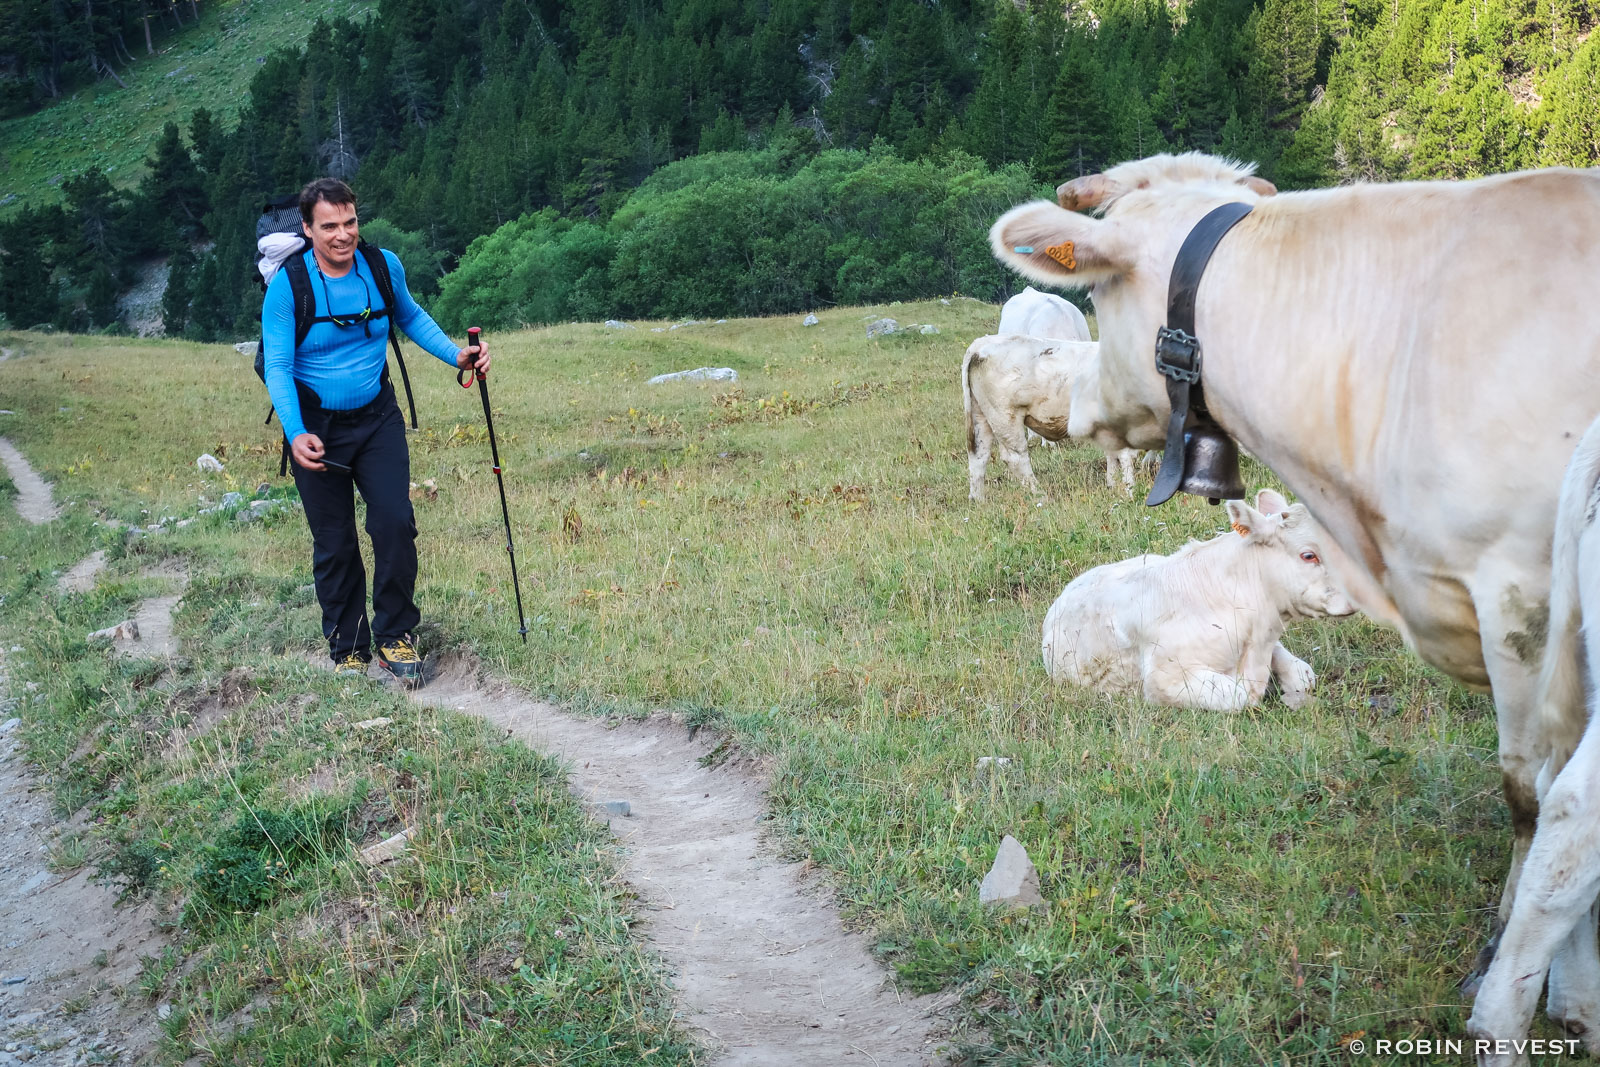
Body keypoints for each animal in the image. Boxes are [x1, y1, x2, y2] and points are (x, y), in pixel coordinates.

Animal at [960, 334, 1152, 502]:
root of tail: (980, 344)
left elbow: (1113, 454)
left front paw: (1113, 486)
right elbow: (1126, 455)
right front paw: (1130, 491)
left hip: (980, 415)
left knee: (978, 455)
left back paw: (979, 499)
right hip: (1005, 417)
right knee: (1015, 457)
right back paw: (1041, 496)